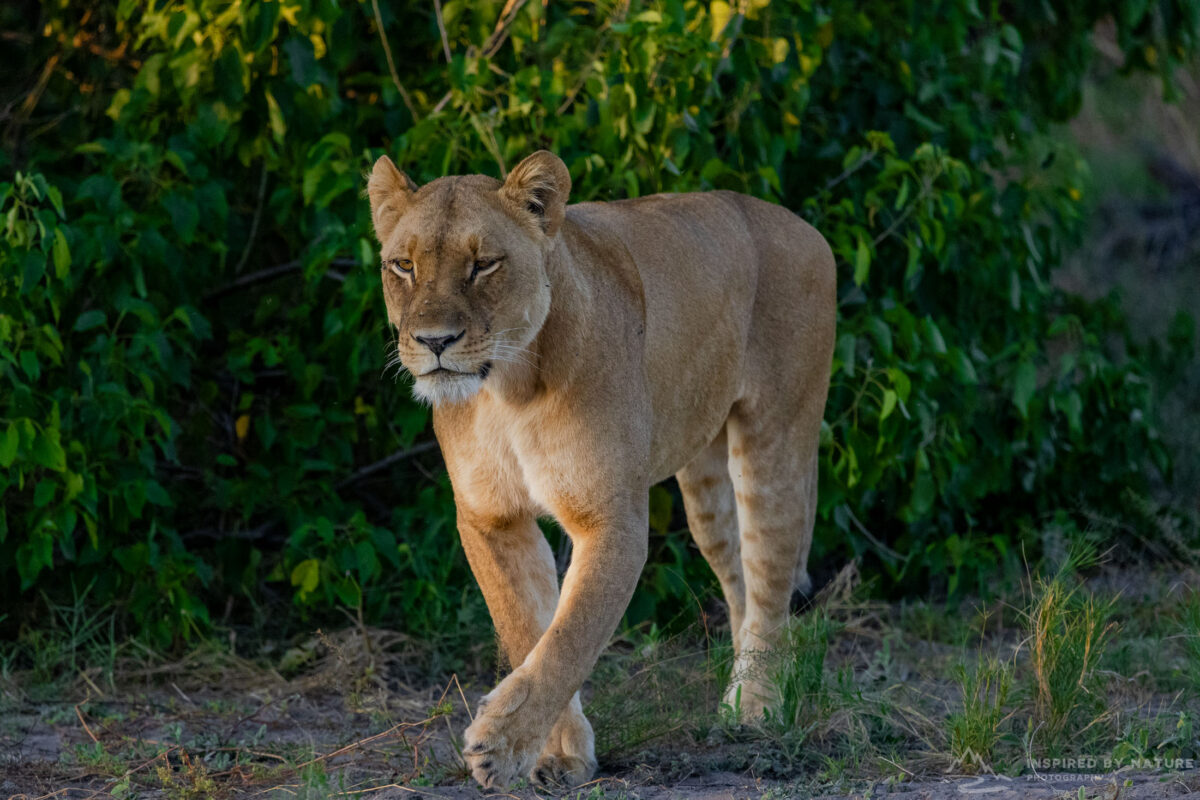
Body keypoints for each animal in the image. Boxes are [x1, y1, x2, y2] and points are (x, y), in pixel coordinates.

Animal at [367, 151, 836, 790]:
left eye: (484, 264)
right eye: (404, 265)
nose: (434, 341)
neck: (509, 390)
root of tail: (805, 227)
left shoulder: (609, 518)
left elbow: (570, 636)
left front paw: (500, 745)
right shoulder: (490, 520)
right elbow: (528, 628)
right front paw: (558, 753)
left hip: (774, 442)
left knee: (770, 587)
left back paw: (757, 711)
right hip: (705, 489)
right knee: (740, 581)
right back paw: (739, 698)